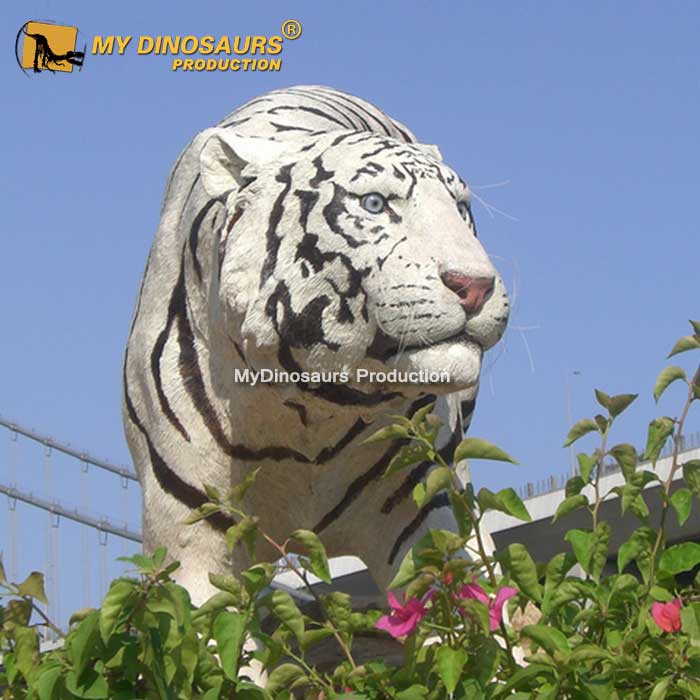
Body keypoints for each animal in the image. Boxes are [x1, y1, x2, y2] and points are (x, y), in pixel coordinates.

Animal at [122, 85, 510, 608]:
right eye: (374, 203)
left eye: (461, 210)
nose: (475, 286)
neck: (307, 411)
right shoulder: (193, 536)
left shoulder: (425, 507)